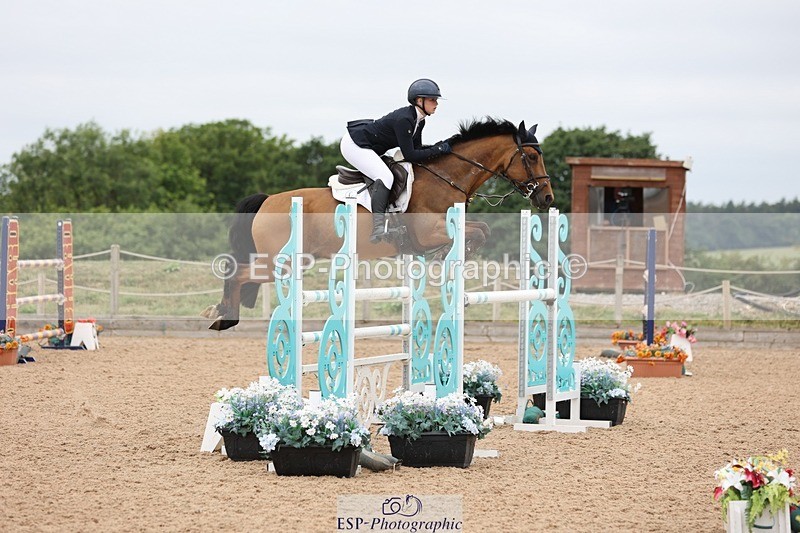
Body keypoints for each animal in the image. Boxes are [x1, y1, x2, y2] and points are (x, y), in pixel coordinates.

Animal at [202, 118, 554, 330]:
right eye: (532, 157)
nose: (547, 198)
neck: (446, 177)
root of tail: (267, 201)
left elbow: (483, 229)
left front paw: (453, 255)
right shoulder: (428, 232)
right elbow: (477, 232)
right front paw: (447, 255)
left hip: (293, 261)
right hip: (278, 261)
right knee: (237, 274)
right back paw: (222, 316)